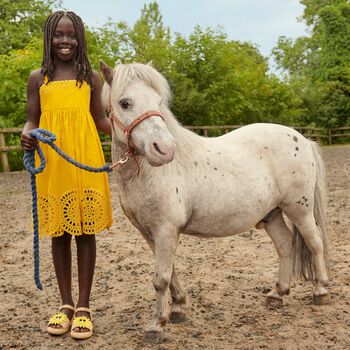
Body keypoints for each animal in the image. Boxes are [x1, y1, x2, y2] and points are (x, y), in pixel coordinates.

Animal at [100, 61, 330, 344]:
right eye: (125, 103)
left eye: (158, 101)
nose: (164, 150)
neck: (149, 173)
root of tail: (303, 139)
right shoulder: (149, 232)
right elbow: (171, 272)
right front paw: (177, 309)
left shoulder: (165, 230)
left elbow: (161, 278)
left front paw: (156, 325)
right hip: (273, 214)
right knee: (286, 246)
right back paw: (277, 294)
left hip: (300, 210)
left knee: (315, 243)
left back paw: (320, 291)